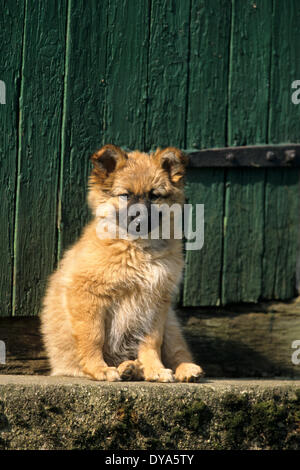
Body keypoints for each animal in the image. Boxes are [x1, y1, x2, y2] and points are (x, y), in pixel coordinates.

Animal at [40, 144, 204, 382]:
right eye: (125, 195)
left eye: (154, 196)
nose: (139, 217)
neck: (136, 248)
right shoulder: (87, 295)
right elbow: (93, 337)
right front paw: (99, 369)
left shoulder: (155, 302)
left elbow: (151, 342)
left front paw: (155, 369)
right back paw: (129, 368)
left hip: (171, 324)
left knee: (178, 351)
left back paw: (183, 369)